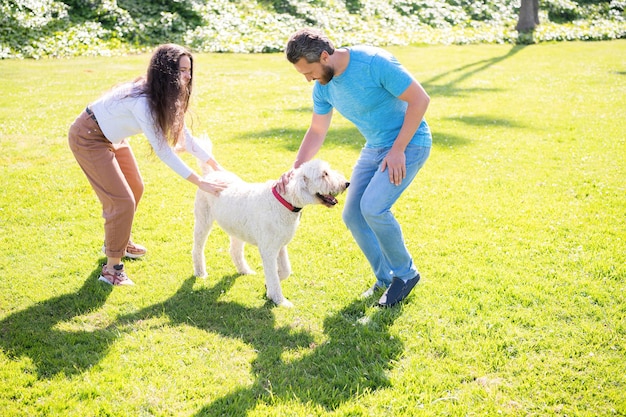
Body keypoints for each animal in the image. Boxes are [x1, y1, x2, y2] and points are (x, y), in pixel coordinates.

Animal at [191, 159, 346, 306]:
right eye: (324, 174)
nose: (347, 183)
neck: (284, 202)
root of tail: (210, 174)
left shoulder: (280, 245)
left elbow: (286, 270)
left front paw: (271, 283)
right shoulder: (268, 250)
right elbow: (272, 275)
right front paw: (279, 300)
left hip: (237, 227)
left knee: (235, 251)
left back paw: (244, 270)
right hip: (203, 220)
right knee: (197, 248)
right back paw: (200, 272)